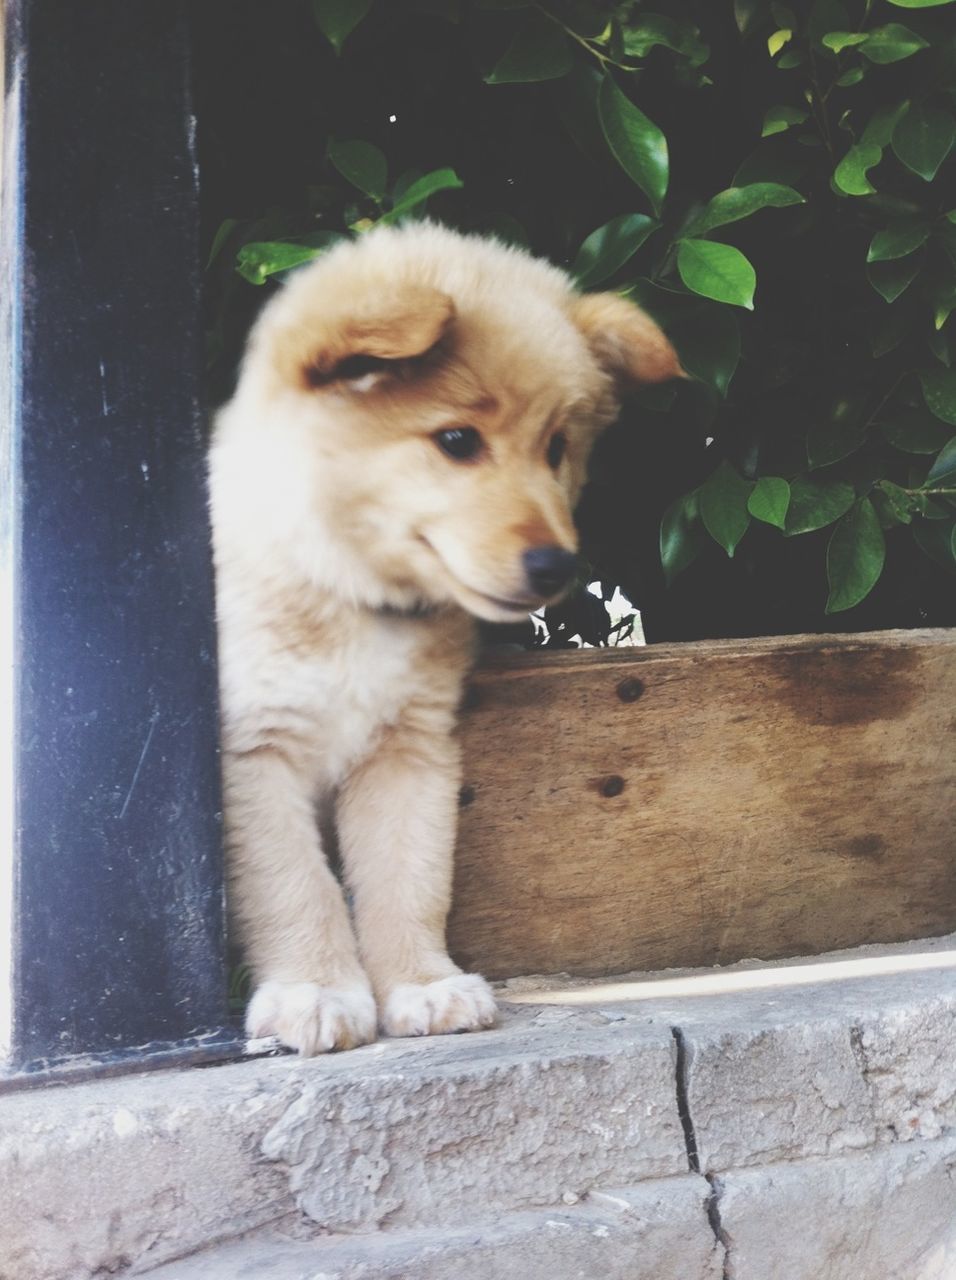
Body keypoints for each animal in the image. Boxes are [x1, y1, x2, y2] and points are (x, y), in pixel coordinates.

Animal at [209, 222, 680, 1059]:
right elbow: (296, 886)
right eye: (457, 440)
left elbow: (409, 879)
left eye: (556, 448)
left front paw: (421, 986)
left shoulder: (411, 749)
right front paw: (315, 990)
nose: (557, 566)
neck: (354, 598)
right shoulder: (252, 751)